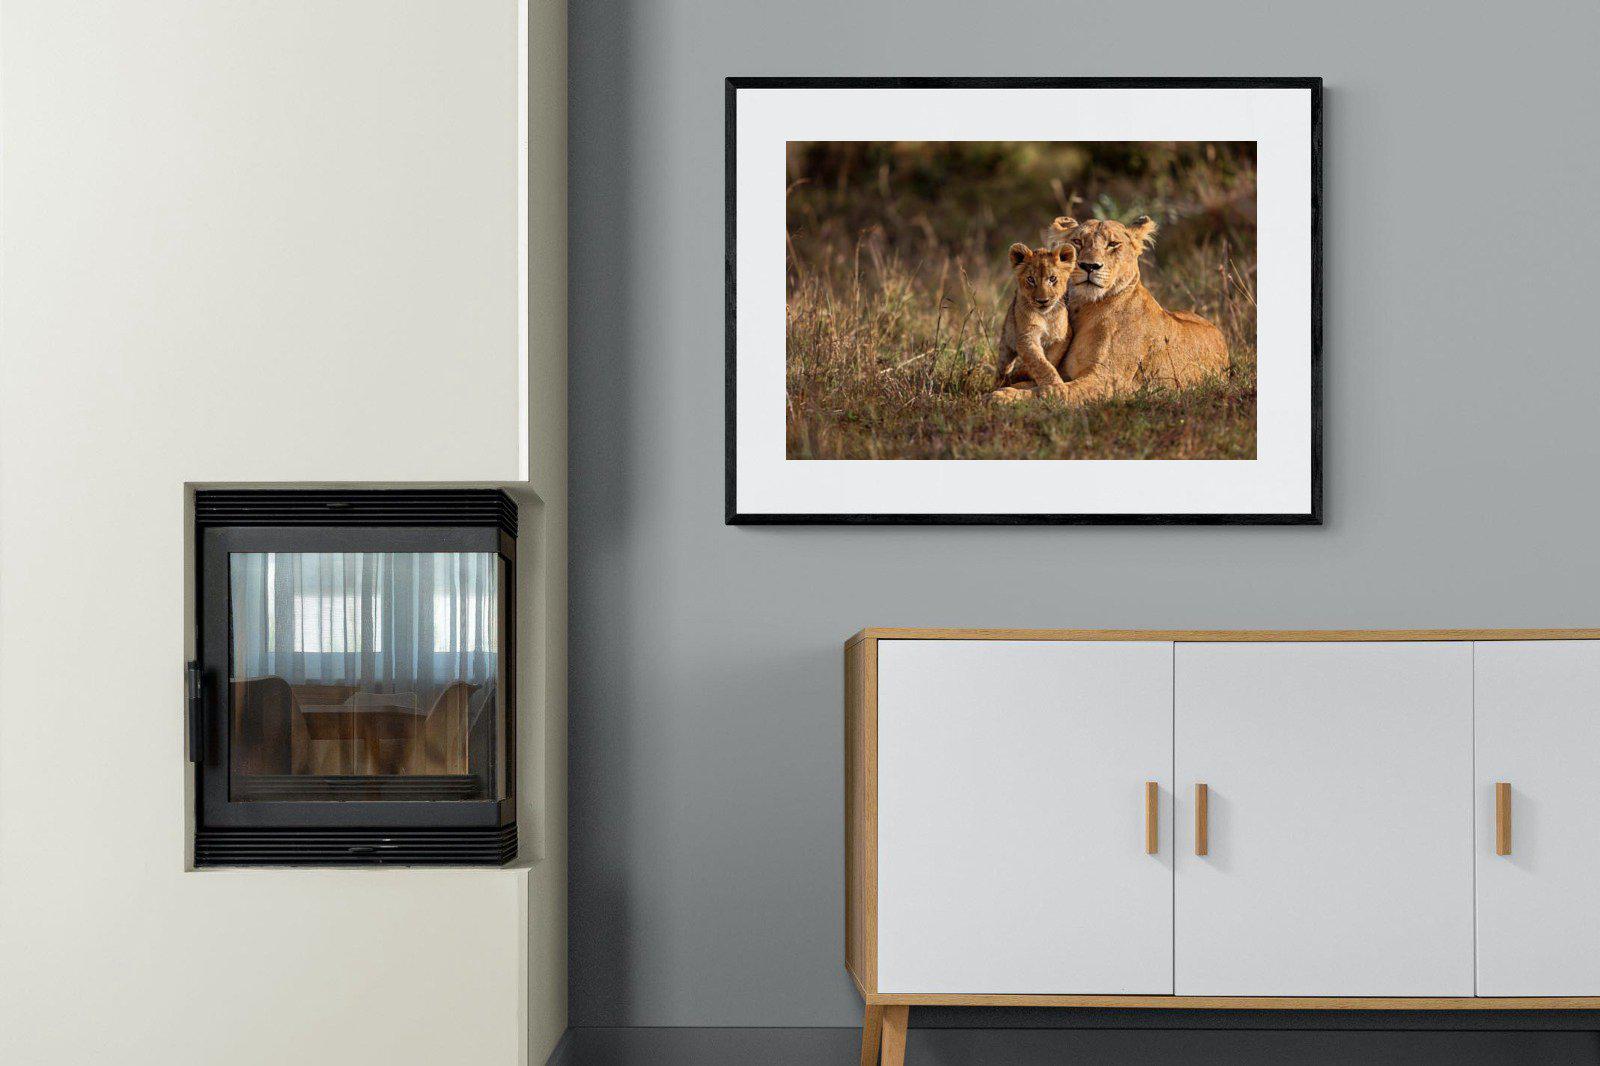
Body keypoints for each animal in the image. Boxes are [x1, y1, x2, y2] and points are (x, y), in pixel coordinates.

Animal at [991, 242, 1077, 394]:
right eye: (1031, 279)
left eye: (1052, 278)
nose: (1043, 301)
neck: (1046, 316)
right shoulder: (1026, 337)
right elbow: (1040, 362)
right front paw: (1055, 387)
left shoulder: (1063, 336)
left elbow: (1050, 359)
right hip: (1006, 343)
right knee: (1003, 367)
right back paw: (1000, 383)